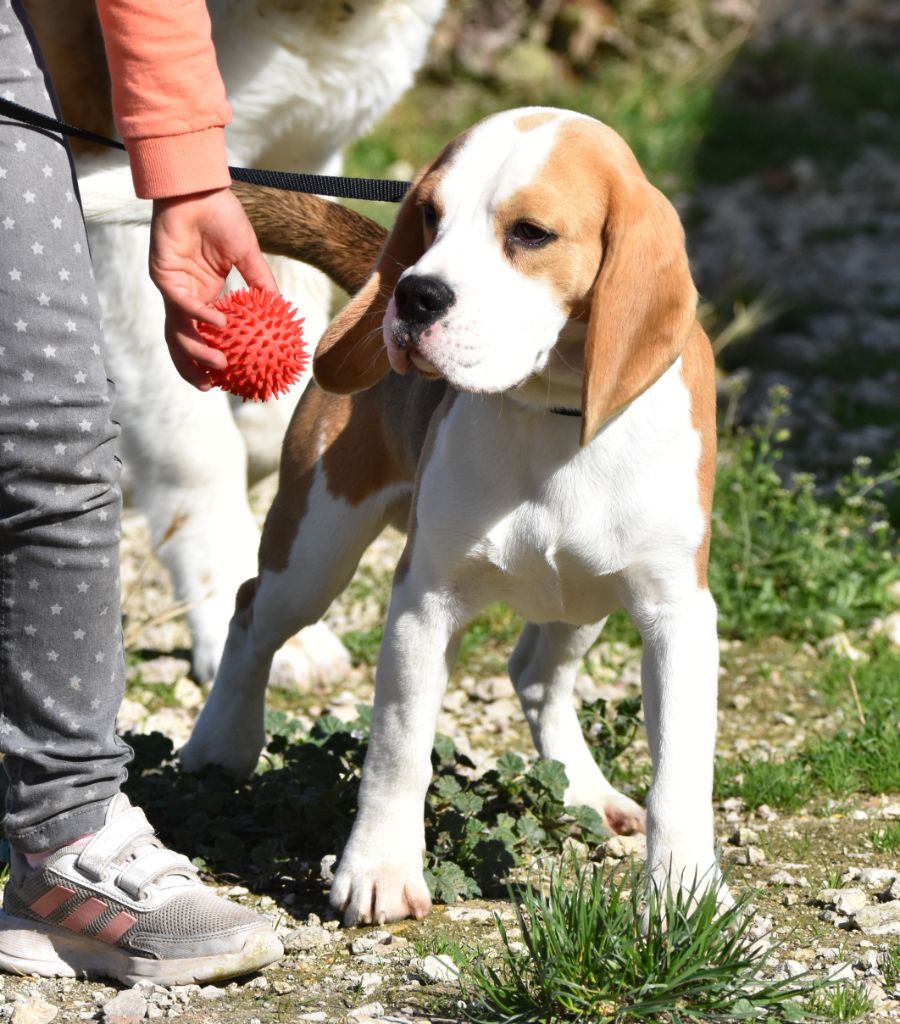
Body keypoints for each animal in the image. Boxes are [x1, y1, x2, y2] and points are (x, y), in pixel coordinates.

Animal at [181, 108, 724, 925]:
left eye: (530, 233)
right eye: (430, 216)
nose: (412, 297)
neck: (550, 416)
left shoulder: (677, 616)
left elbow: (680, 777)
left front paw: (684, 895)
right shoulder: (422, 602)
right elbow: (399, 748)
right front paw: (378, 870)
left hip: (587, 595)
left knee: (535, 675)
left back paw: (586, 792)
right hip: (314, 550)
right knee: (251, 615)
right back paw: (221, 742)